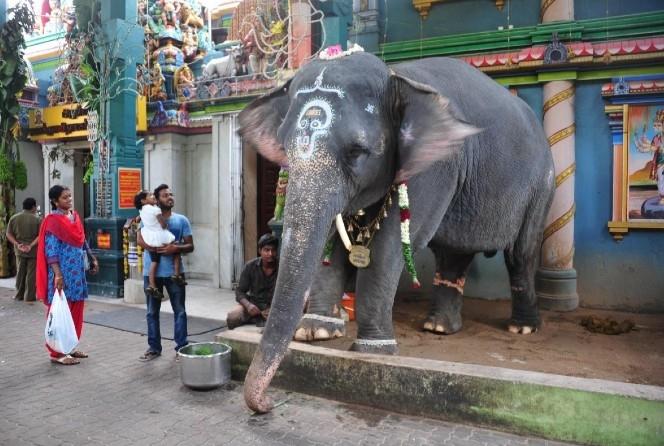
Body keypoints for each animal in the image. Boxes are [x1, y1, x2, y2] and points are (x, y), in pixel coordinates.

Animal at [237, 52, 555, 413]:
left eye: (357, 151)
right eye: (285, 146)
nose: (268, 403)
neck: (396, 76)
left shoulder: (435, 167)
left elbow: (389, 249)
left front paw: (374, 350)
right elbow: (332, 242)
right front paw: (316, 333)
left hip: (541, 185)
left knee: (521, 254)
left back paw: (522, 328)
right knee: (454, 256)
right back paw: (438, 328)